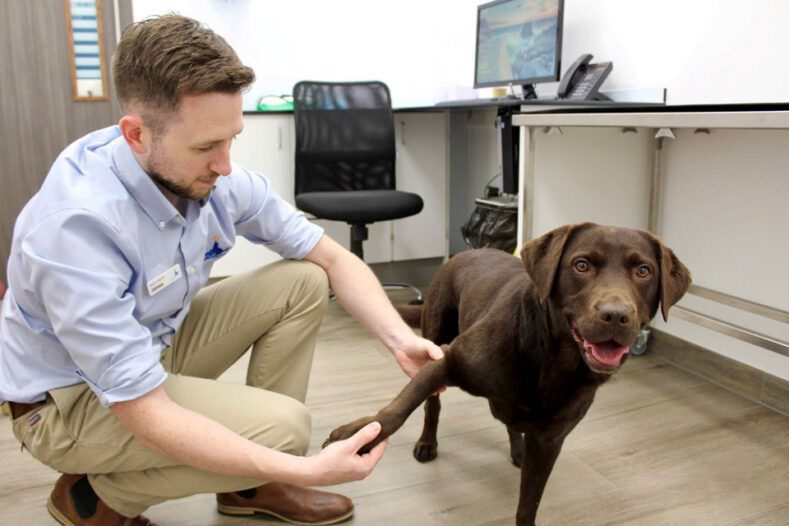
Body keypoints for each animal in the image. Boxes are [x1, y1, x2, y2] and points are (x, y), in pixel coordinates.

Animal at [324, 224, 688, 526]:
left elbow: (530, 502)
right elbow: (397, 411)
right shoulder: (448, 360)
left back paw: (517, 449)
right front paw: (358, 435)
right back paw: (428, 443)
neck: (552, 359)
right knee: (433, 406)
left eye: (644, 271)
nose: (615, 315)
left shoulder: (551, 440)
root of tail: (463, 252)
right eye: (582, 265)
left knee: (509, 422)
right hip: (436, 333)